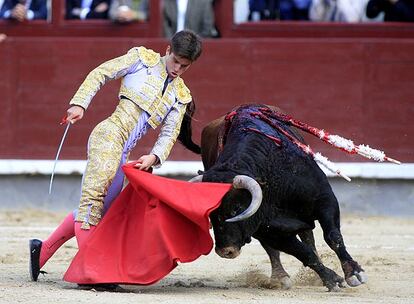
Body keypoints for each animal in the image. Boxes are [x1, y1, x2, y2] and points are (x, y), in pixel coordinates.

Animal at [192, 104, 368, 292]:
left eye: (237, 209)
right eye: (210, 214)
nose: (226, 251)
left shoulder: (325, 200)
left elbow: (333, 237)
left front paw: (354, 273)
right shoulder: (268, 231)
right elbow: (303, 253)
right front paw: (331, 279)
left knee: (309, 236)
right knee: (277, 249)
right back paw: (280, 277)